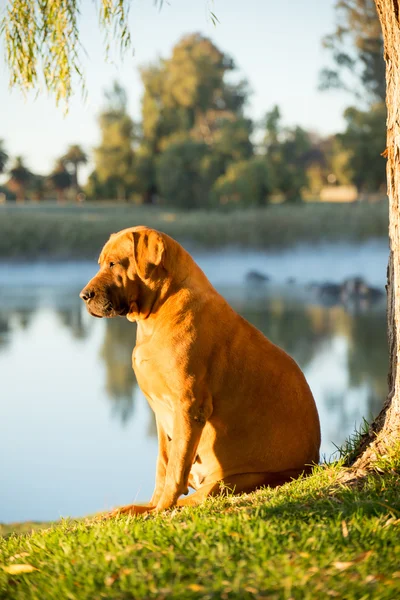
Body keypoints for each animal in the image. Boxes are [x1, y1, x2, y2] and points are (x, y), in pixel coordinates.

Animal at [79, 227, 320, 512]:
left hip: (233, 481)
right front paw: (150, 507)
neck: (157, 314)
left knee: (201, 494)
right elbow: (163, 465)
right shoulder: (162, 415)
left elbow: (175, 467)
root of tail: (313, 462)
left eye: (114, 263)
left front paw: (161, 509)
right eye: (101, 263)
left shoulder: (189, 407)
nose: (84, 296)